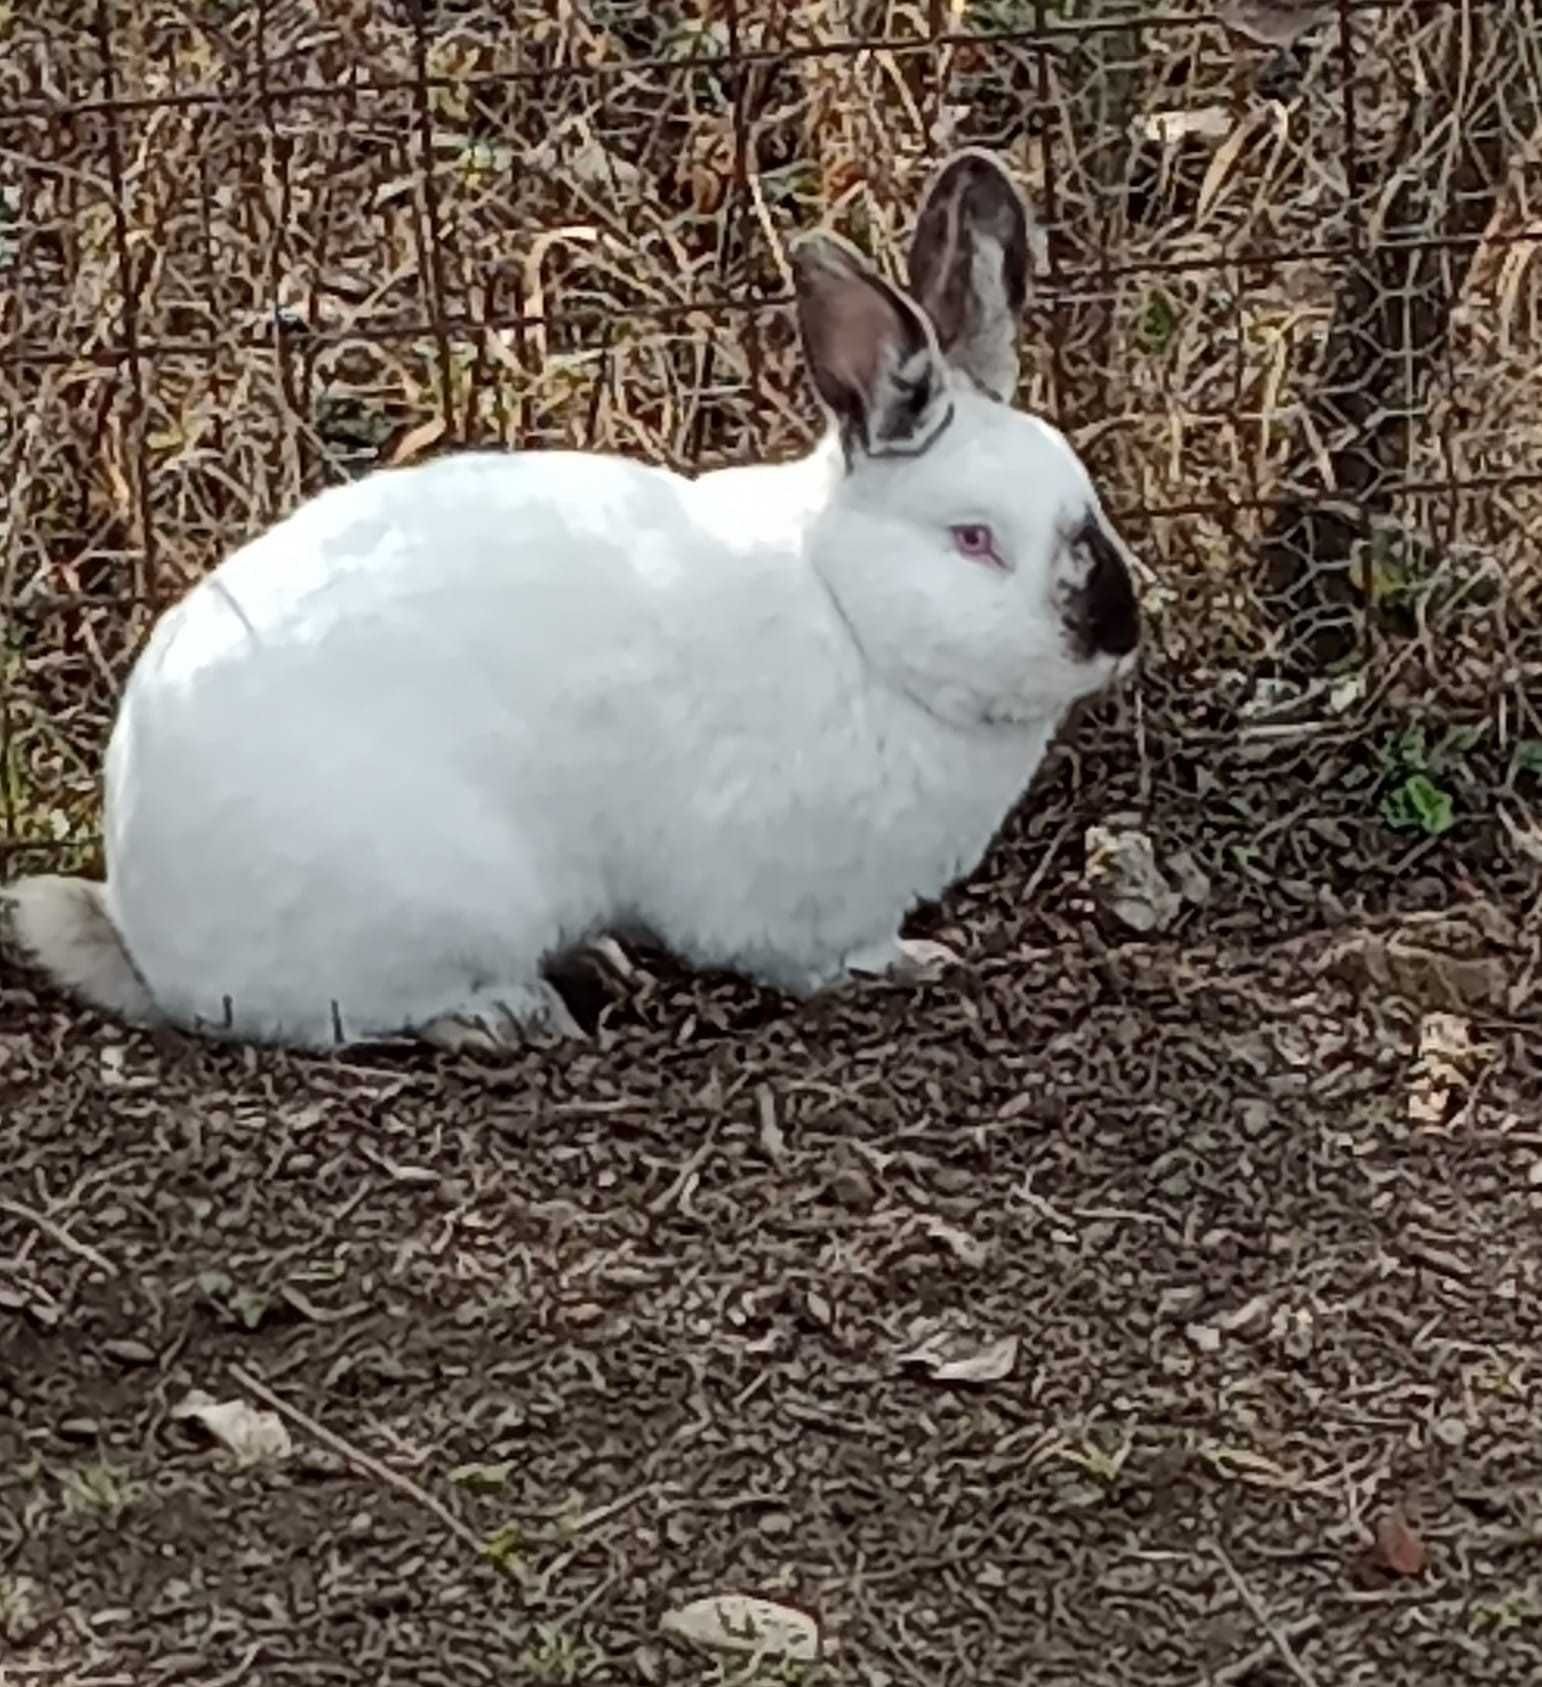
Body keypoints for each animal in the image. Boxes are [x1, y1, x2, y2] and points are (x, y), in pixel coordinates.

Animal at [0, 155, 1133, 1052]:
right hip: (432, 901)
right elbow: (820, 955)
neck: (851, 615)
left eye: (1087, 499)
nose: (1116, 632)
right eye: (974, 540)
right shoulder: (797, 899)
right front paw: (911, 960)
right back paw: (510, 1013)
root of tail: (145, 923)